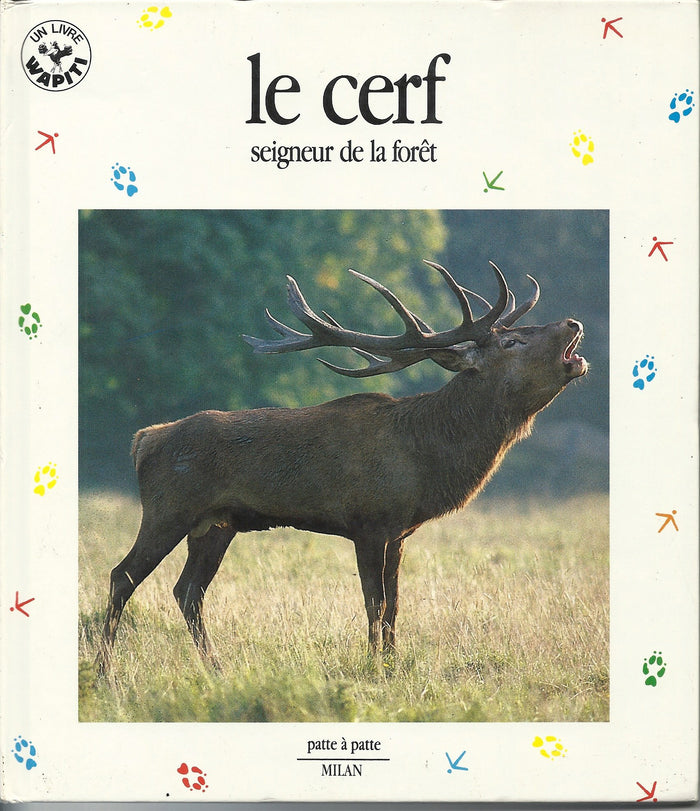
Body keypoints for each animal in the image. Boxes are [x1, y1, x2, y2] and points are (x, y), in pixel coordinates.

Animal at [95, 259, 587, 675]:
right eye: (511, 341)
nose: (573, 323)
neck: (426, 457)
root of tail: (145, 440)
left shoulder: (399, 532)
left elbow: (394, 607)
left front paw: (392, 666)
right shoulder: (368, 521)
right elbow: (374, 603)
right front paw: (374, 669)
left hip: (216, 524)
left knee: (188, 591)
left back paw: (217, 670)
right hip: (168, 510)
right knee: (124, 576)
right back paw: (105, 674)